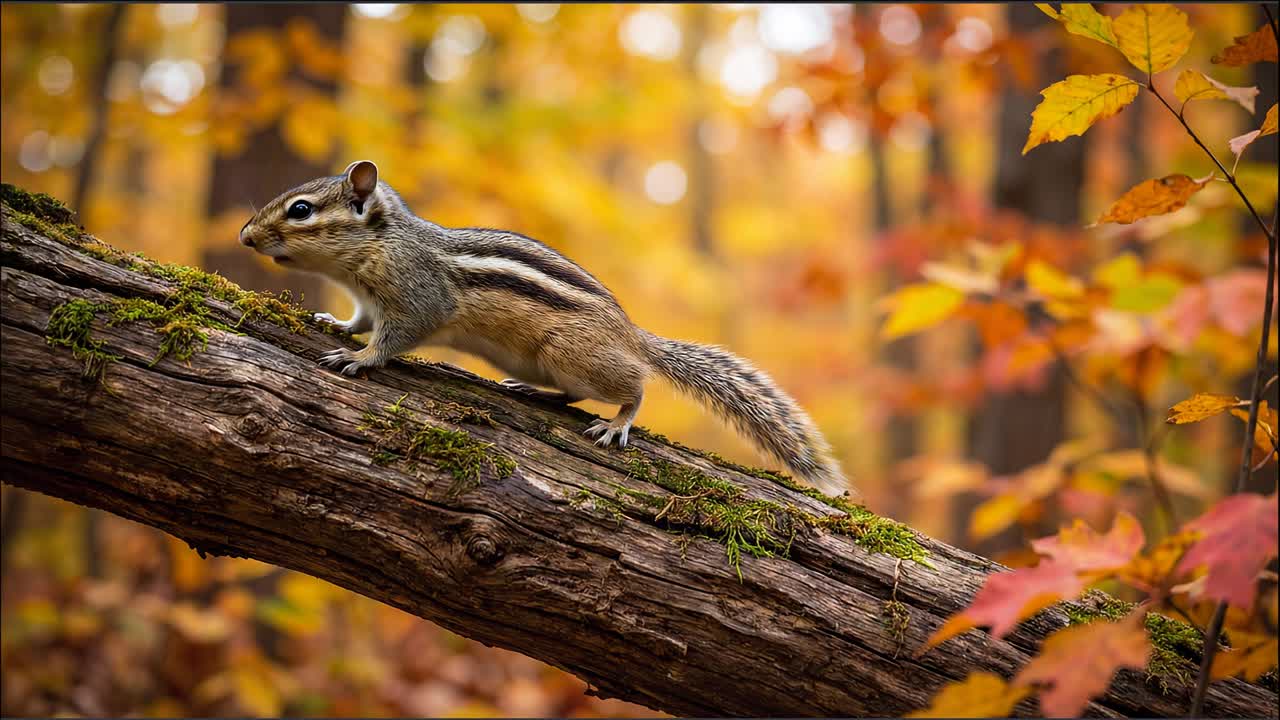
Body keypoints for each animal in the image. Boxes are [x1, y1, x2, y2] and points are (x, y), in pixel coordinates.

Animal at [239, 160, 849, 494]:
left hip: (575, 353)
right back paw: (534, 391)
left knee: (634, 384)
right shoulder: (369, 300)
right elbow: (361, 320)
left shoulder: (417, 297)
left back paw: (618, 421)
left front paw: (360, 358)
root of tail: (631, 333)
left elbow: (396, 336)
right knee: (571, 393)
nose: (245, 236)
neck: (380, 246)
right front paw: (337, 326)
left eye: (300, 210)